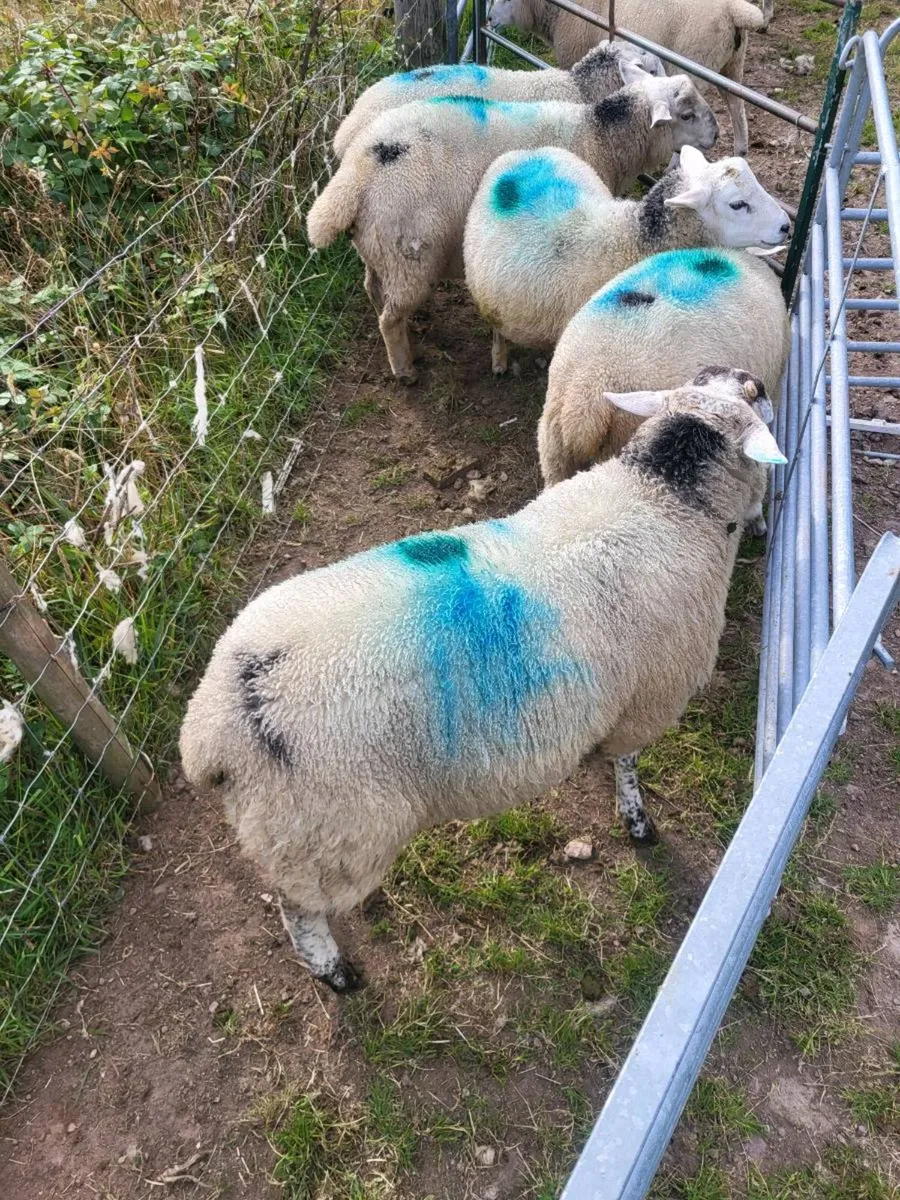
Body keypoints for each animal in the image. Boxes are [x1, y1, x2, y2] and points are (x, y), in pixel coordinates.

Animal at [179, 366, 785, 992]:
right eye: (756, 395)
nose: (755, 379)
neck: (665, 495)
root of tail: (214, 724)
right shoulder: (648, 699)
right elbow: (628, 767)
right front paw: (638, 823)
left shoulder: (613, 697)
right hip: (321, 832)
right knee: (298, 910)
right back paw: (335, 972)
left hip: (302, 830)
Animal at [307, 66, 718, 382]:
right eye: (685, 114)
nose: (715, 136)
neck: (599, 134)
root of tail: (355, 172)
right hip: (410, 255)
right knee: (389, 318)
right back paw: (405, 369)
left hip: (381, 246)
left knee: (374, 288)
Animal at [464, 144, 790, 373]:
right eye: (737, 204)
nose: (786, 226)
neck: (630, 238)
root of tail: (526, 151)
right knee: (496, 323)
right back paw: (499, 359)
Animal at [487, 0, 772, 157]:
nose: (488, 18)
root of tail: (732, 9)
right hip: (731, 66)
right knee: (739, 114)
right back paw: (740, 154)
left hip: (695, 62)